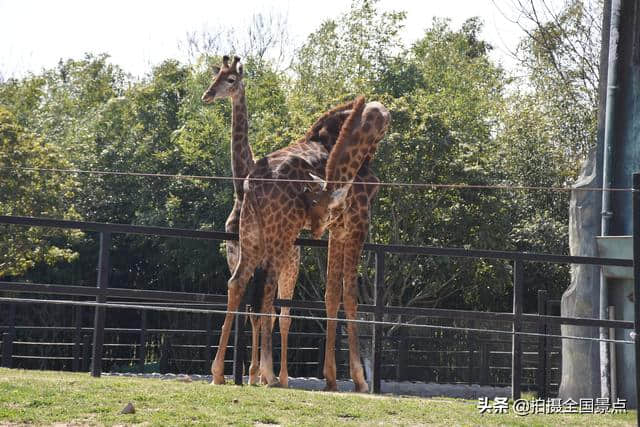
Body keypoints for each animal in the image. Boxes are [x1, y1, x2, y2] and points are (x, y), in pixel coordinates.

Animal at [201, 55, 298, 386]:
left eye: (231, 80)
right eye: (215, 76)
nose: (207, 95)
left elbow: (263, 312)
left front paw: (257, 373)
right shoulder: (235, 256)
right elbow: (246, 308)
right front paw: (241, 373)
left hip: (291, 268)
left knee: (283, 315)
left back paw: (281, 376)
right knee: (264, 311)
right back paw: (258, 375)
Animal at [209, 93, 390, 392]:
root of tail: (252, 182)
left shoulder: (338, 230)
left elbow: (331, 294)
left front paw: (331, 378)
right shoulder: (357, 223)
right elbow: (350, 295)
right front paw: (359, 380)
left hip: (252, 236)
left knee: (239, 284)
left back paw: (222, 373)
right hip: (281, 234)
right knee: (267, 293)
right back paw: (269, 375)